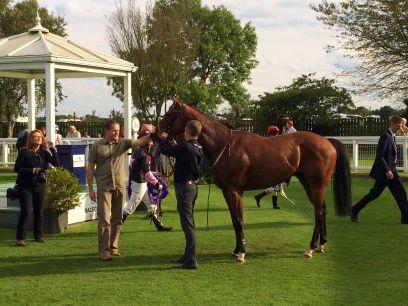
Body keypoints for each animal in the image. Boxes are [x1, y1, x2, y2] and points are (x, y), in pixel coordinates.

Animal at [158, 99, 352, 262]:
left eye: (170, 113)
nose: (157, 130)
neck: (224, 146)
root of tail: (327, 141)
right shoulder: (227, 192)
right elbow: (234, 220)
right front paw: (237, 249)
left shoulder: (235, 191)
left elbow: (239, 219)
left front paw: (242, 253)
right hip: (308, 184)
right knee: (323, 210)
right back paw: (321, 244)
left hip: (317, 185)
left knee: (318, 213)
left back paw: (310, 248)